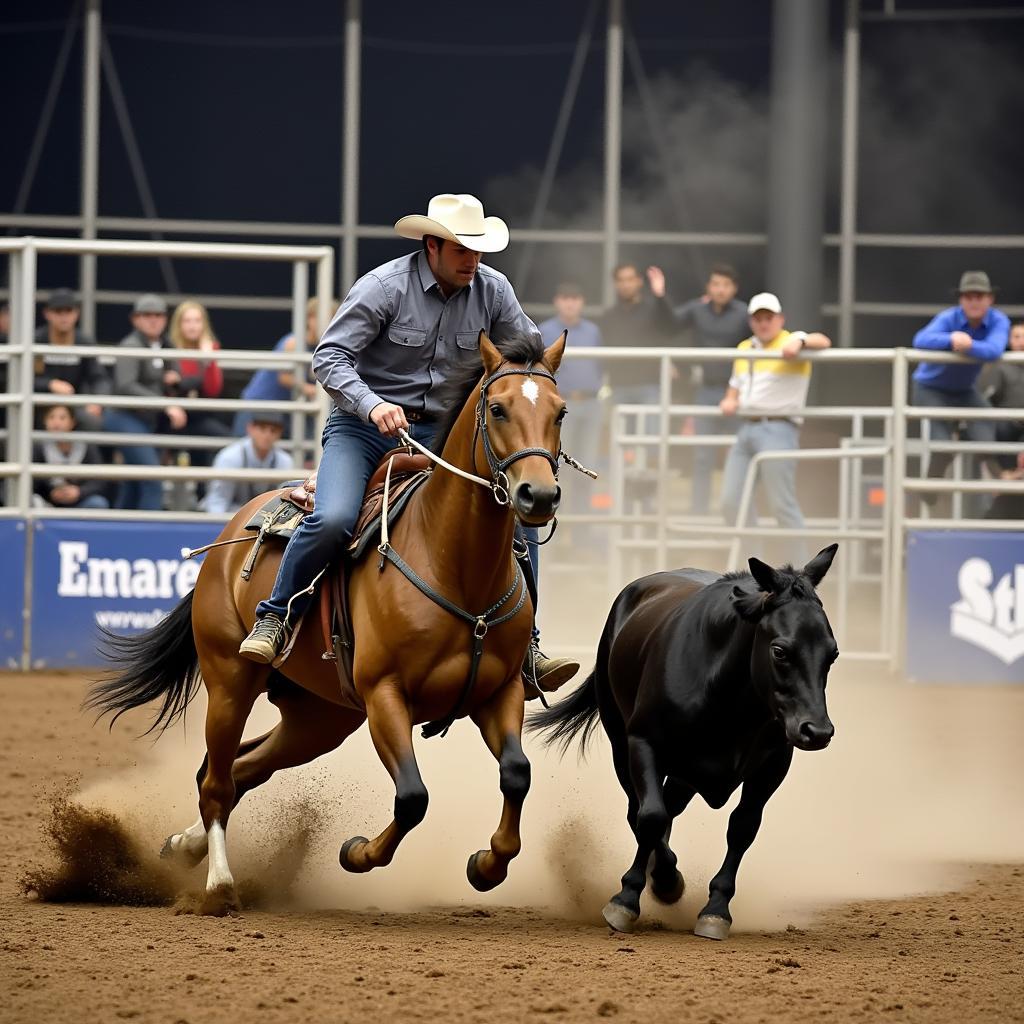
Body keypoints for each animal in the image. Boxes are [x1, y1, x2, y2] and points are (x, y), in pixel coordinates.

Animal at [88, 329, 565, 913]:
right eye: (497, 408)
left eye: (560, 412)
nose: (538, 495)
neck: (452, 564)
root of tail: (231, 531)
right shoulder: (386, 695)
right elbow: (412, 797)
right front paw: (358, 853)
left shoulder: (499, 693)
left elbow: (517, 775)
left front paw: (488, 865)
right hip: (231, 682)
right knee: (217, 782)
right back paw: (219, 885)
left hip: (321, 718)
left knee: (240, 769)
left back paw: (182, 846)